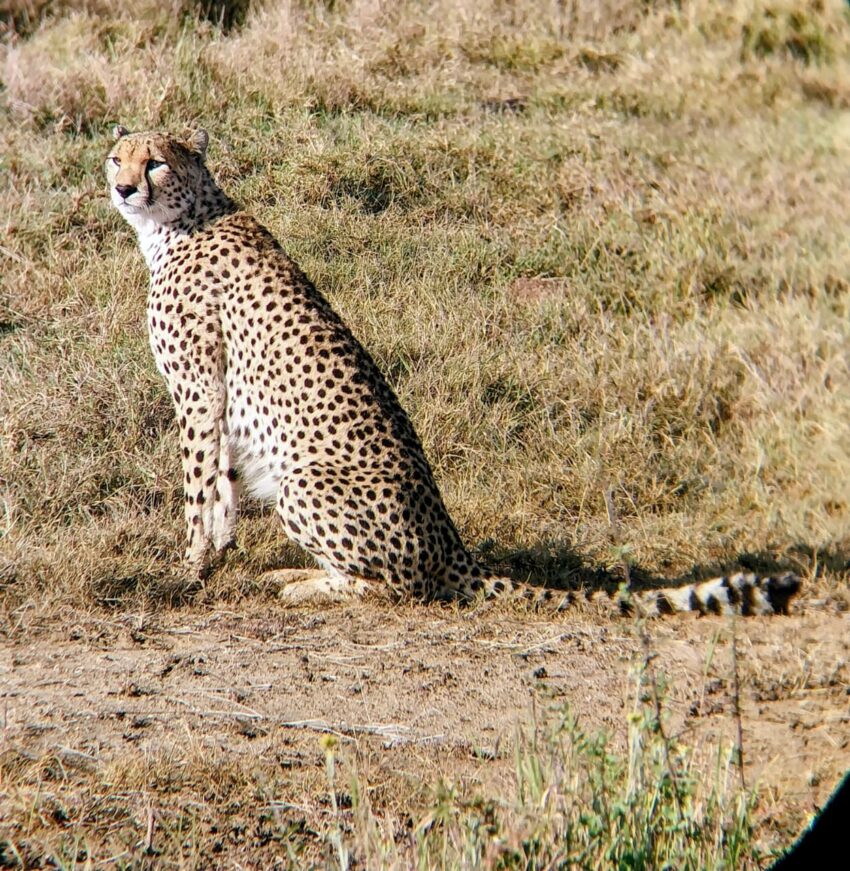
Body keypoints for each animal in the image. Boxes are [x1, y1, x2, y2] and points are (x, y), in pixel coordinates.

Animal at [105, 126, 801, 617]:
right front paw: (214, 558)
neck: (181, 221)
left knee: (402, 587)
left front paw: (188, 570)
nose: (124, 188)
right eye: (117, 158)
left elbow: (198, 487)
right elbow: (220, 485)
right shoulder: (214, 396)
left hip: (307, 481)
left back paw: (304, 585)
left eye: (156, 162)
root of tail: (452, 544)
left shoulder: (199, 390)